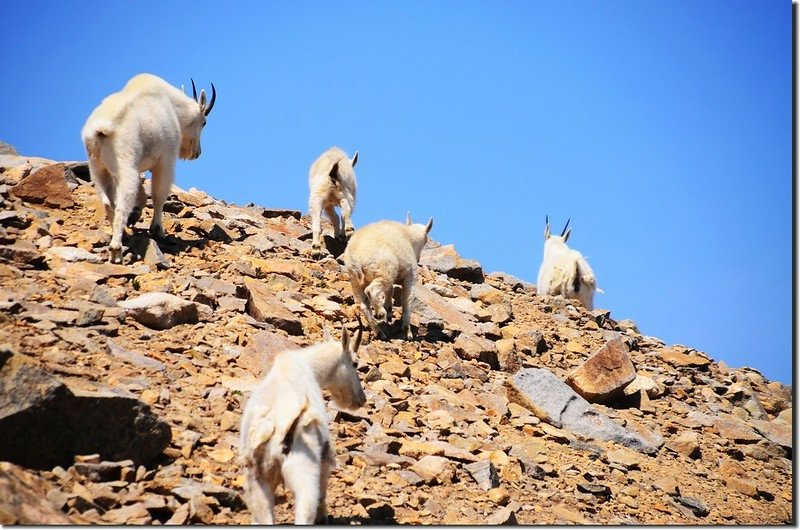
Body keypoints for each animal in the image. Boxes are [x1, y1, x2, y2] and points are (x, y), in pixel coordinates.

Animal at [80, 72, 216, 262]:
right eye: (204, 122)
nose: (197, 153)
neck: (171, 106)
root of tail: (102, 128)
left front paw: (136, 214)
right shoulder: (165, 161)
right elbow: (159, 195)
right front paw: (157, 230)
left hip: (97, 167)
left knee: (107, 201)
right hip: (125, 164)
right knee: (122, 202)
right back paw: (116, 249)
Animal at [236, 320, 364, 520]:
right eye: (355, 363)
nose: (361, 399)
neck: (307, 366)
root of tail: (272, 430)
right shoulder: (324, 458)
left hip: (259, 481)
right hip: (303, 473)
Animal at [342, 212, 432, 340]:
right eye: (425, 241)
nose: (418, 259)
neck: (408, 237)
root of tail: (355, 258)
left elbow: (390, 291)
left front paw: (389, 309)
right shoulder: (410, 275)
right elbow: (407, 299)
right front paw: (407, 331)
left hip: (355, 280)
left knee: (364, 306)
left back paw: (379, 332)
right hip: (383, 271)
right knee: (371, 291)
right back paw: (380, 313)